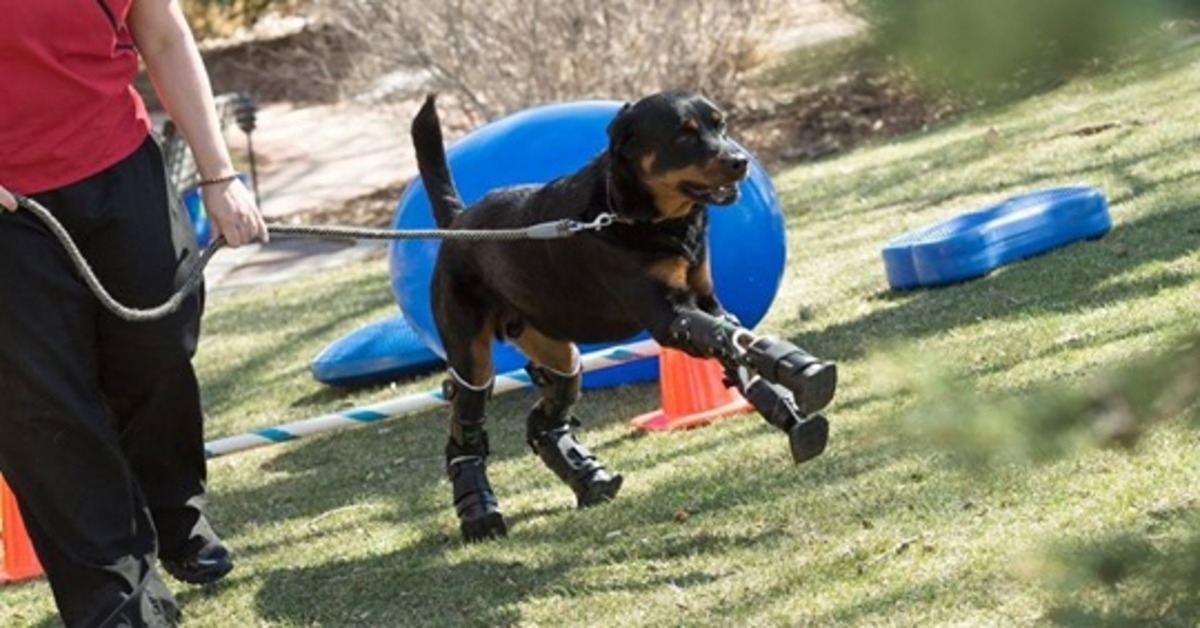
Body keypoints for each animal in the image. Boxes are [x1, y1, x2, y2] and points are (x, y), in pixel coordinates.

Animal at [412, 90, 835, 542]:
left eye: (720, 124)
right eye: (684, 134)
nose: (739, 161)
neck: (640, 215)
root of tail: (458, 222)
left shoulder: (705, 299)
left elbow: (733, 340)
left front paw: (787, 403)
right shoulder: (668, 315)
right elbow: (722, 337)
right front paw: (800, 370)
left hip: (551, 341)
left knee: (553, 402)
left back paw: (590, 478)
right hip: (469, 349)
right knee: (468, 418)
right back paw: (479, 512)